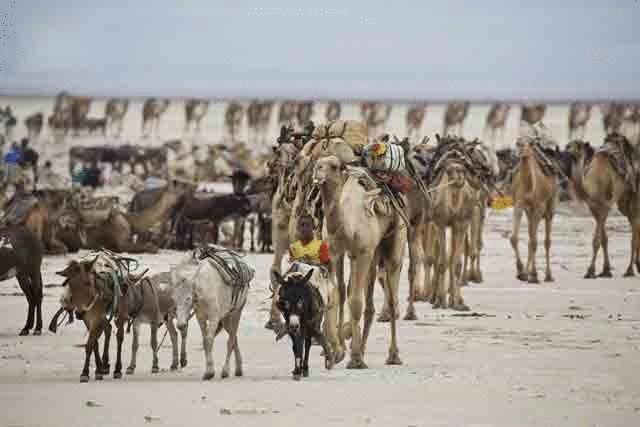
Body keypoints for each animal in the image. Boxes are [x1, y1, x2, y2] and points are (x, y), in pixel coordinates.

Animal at [508, 140, 556, 284]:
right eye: (517, 142)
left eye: (527, 144)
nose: (515, 153)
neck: (529, 185)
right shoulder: (519, 204)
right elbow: (514, 238)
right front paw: (521, 272)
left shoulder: (538, 207)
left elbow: (535, 242)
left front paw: (533, 275)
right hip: (529, 212)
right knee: (531, 237)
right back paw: (527, 272)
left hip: (550, 207)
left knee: (546, 241)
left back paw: (548, 275)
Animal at [564, 135, 640, 280]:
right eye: (568, 145)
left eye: (577, 146)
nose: (567, 150)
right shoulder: (594, 207)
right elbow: (604, 239)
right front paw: (606, 271)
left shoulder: (605, 205)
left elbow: (596, 241)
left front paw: (590, 271)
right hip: (624, 199)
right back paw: (637, 266)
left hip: (633, 194)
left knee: (634, 231)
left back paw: (629, 270)